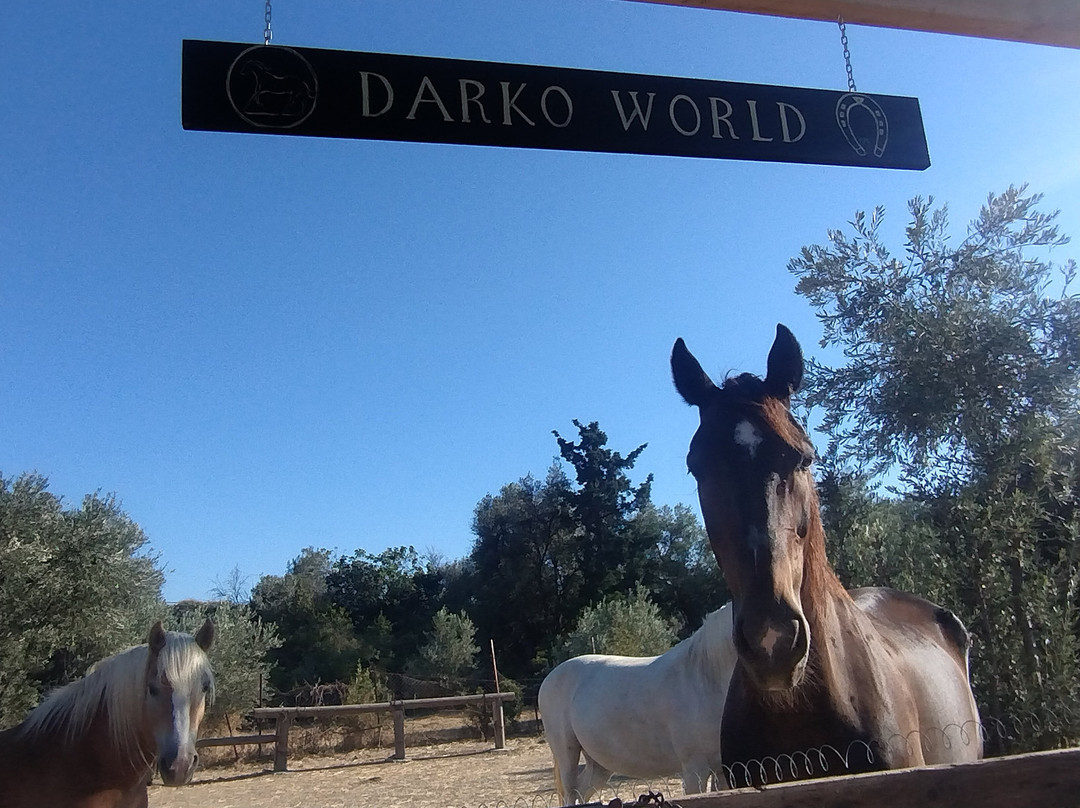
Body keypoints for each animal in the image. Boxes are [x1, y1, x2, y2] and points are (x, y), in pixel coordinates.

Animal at [538, 604, 736, 805]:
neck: (705, 677)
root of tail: (550, 677)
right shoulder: (695, 769)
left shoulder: (721, 770)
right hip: (567, 756)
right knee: (571, 793)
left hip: (600, 764)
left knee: (582, 791)